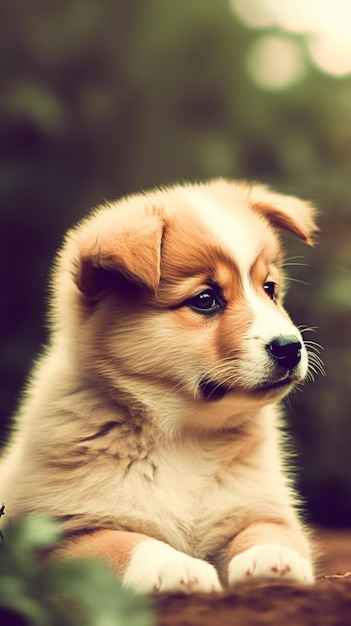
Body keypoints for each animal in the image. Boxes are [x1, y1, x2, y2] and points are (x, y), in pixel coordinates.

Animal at [0, 179, 320, 588]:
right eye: (205, 299)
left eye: (269, 289)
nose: (290, 348)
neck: (184, 437)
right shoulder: (63, 534)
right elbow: (129, 542)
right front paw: (176, 567)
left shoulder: (257, 505)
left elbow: (265, 531)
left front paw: (272, 558)